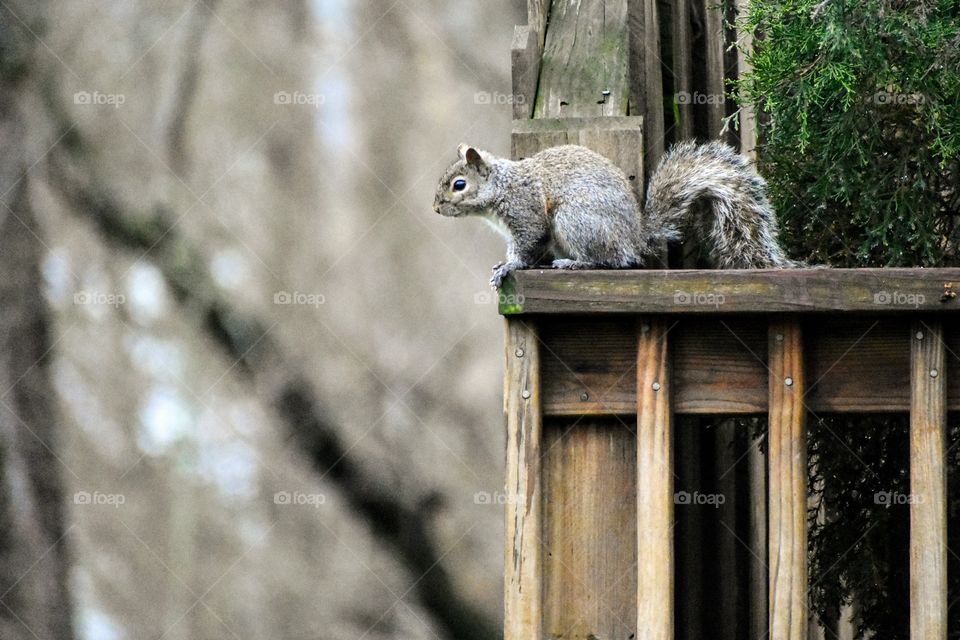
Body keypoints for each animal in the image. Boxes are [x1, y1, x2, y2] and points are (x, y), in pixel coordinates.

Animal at [433, 141, 802, 288]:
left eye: (459, 185)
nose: (435, 207)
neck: (501, 186)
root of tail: (635, 238)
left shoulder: (526, 214)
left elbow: (527, 245)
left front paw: (509, 267)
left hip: (575, 220)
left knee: (610, 260)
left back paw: (575, 263)